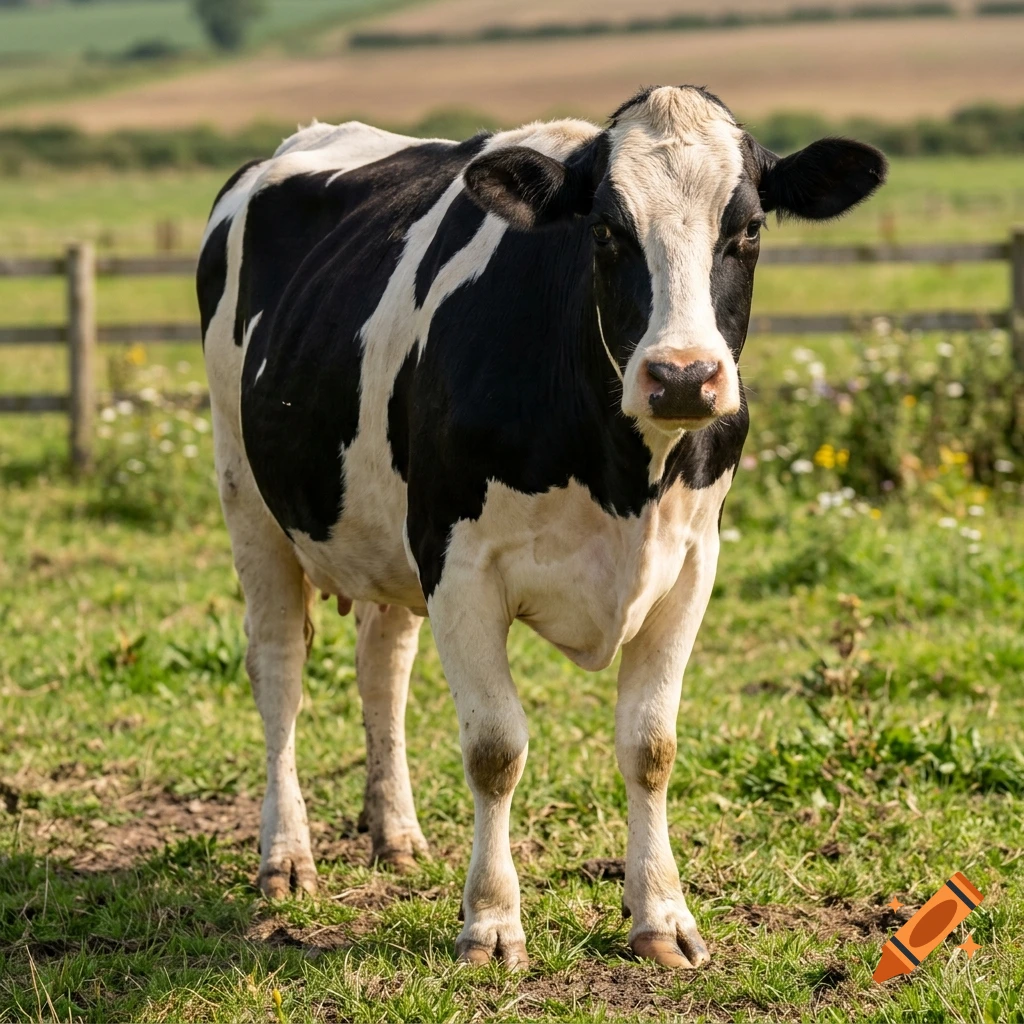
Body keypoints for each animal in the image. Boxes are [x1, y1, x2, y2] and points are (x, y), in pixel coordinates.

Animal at [197, 85, 886, 970]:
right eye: (605, 231)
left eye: (751, 229)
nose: (683, 377)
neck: (625, 474)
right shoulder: (458, 565)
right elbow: (496, 749)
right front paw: (491, 923)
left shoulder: (691, 566)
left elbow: (651, 747)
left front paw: (662, 916)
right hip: (248, 494)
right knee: (279, 669)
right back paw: (286, 858)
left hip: (383, 529)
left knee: (382, 667)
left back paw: (396, 834)